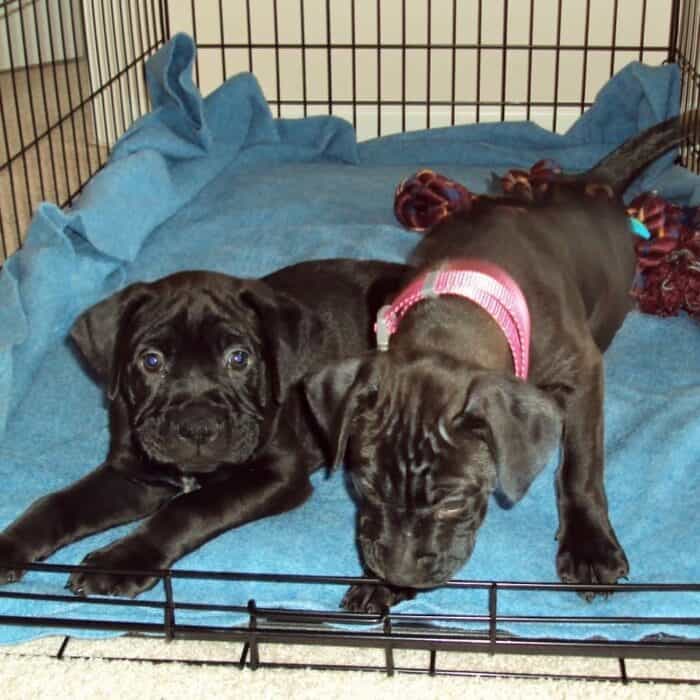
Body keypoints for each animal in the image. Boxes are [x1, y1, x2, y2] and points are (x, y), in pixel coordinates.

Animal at [0, 258, 404, 596]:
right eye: (151, 361)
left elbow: (188, 508)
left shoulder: (279, 473)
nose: (197, 427)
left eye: (239, 358)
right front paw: (10, 546)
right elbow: (57, 503)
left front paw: (118, 563)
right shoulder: (136, 476)